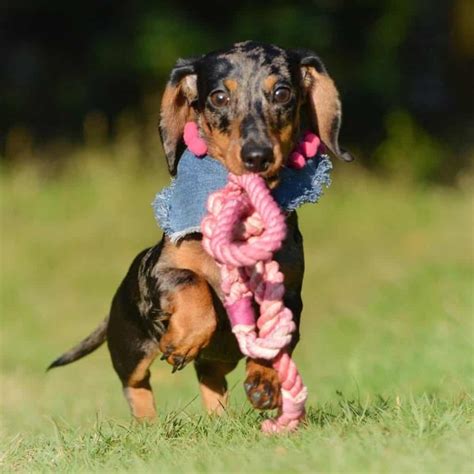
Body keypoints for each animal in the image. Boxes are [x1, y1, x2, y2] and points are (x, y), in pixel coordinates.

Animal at [48, 40, 352, 418]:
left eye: (282, 93)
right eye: (219, 97)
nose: (257, 156)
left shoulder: (288, 293)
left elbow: (274, 335)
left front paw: (265, 380)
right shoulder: (162, 270)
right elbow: (194, 284)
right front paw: (184, 339)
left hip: (214, 362)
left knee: (210, 380)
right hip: (131, 348)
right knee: (136, 385)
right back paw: (149, 421)